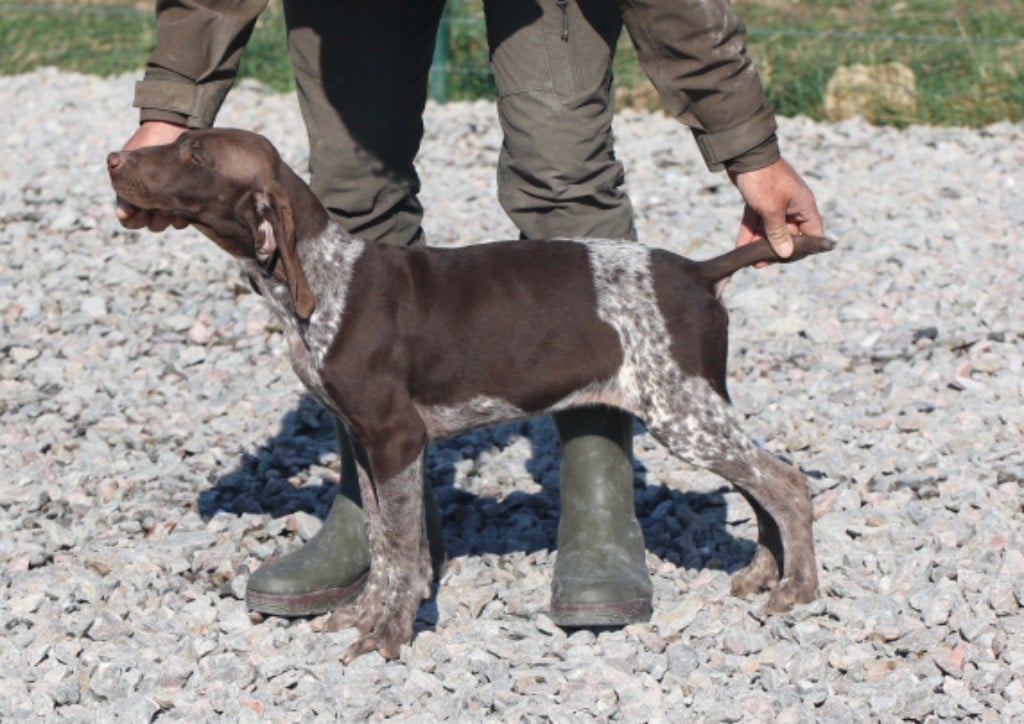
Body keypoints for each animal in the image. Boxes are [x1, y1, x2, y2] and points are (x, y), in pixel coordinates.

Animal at [108, 129, 835, 663]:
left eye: (196, 155)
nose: (115, 158)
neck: (321, 276)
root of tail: (696, 272)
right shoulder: (364, 441)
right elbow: (379, 540)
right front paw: (364, 615)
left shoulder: (396, 438)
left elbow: (403, 550)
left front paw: (389, 634)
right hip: (699, 408)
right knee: (760, 486)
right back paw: (764, 572)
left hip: (682, 411)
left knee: (786, 482)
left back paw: (797, 590)